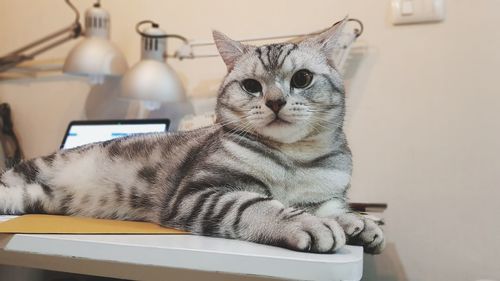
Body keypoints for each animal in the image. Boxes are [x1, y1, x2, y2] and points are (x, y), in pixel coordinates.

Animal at [0, 18, 386, 253]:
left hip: (32, 197)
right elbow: (260, 205)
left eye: (302, 78)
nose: (275, 101)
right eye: (251, 86)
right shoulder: (199, 193)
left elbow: (335, 207)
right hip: (27, 175)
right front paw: (308, 223)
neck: (295, 159)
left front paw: (360, 223)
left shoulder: (325, 194)